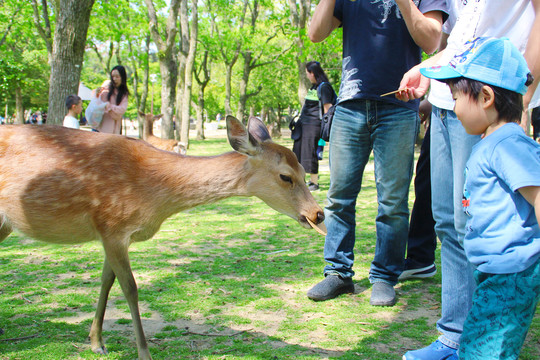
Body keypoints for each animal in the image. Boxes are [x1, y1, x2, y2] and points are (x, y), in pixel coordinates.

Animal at [0, 116, 324, 360]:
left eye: (303, 168)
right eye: (285, 176)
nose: (318, 213)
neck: (154, 196)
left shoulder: (113, 234)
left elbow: (106, 280)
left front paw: (96, 342)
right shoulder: (111, 224)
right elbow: (130, 288)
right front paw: (144, 353)